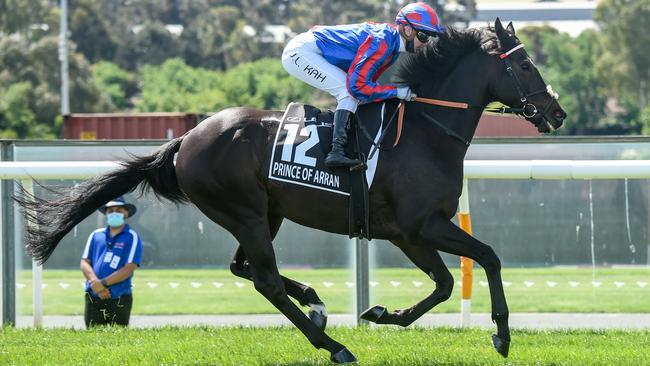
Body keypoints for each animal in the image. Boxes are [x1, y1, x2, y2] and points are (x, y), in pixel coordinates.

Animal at [20, 20, 560, 364]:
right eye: (525, 65)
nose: (557, 113)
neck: (426, 130)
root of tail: (186, 139)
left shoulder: (409, 232)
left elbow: (445, 284)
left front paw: (383, 312)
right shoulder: (420, 225)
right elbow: (488, 257)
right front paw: (502, 335)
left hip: (265, 214)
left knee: (244, 268)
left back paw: (317, 306)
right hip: (245, 213)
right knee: (266, 281)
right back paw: (334, 345)